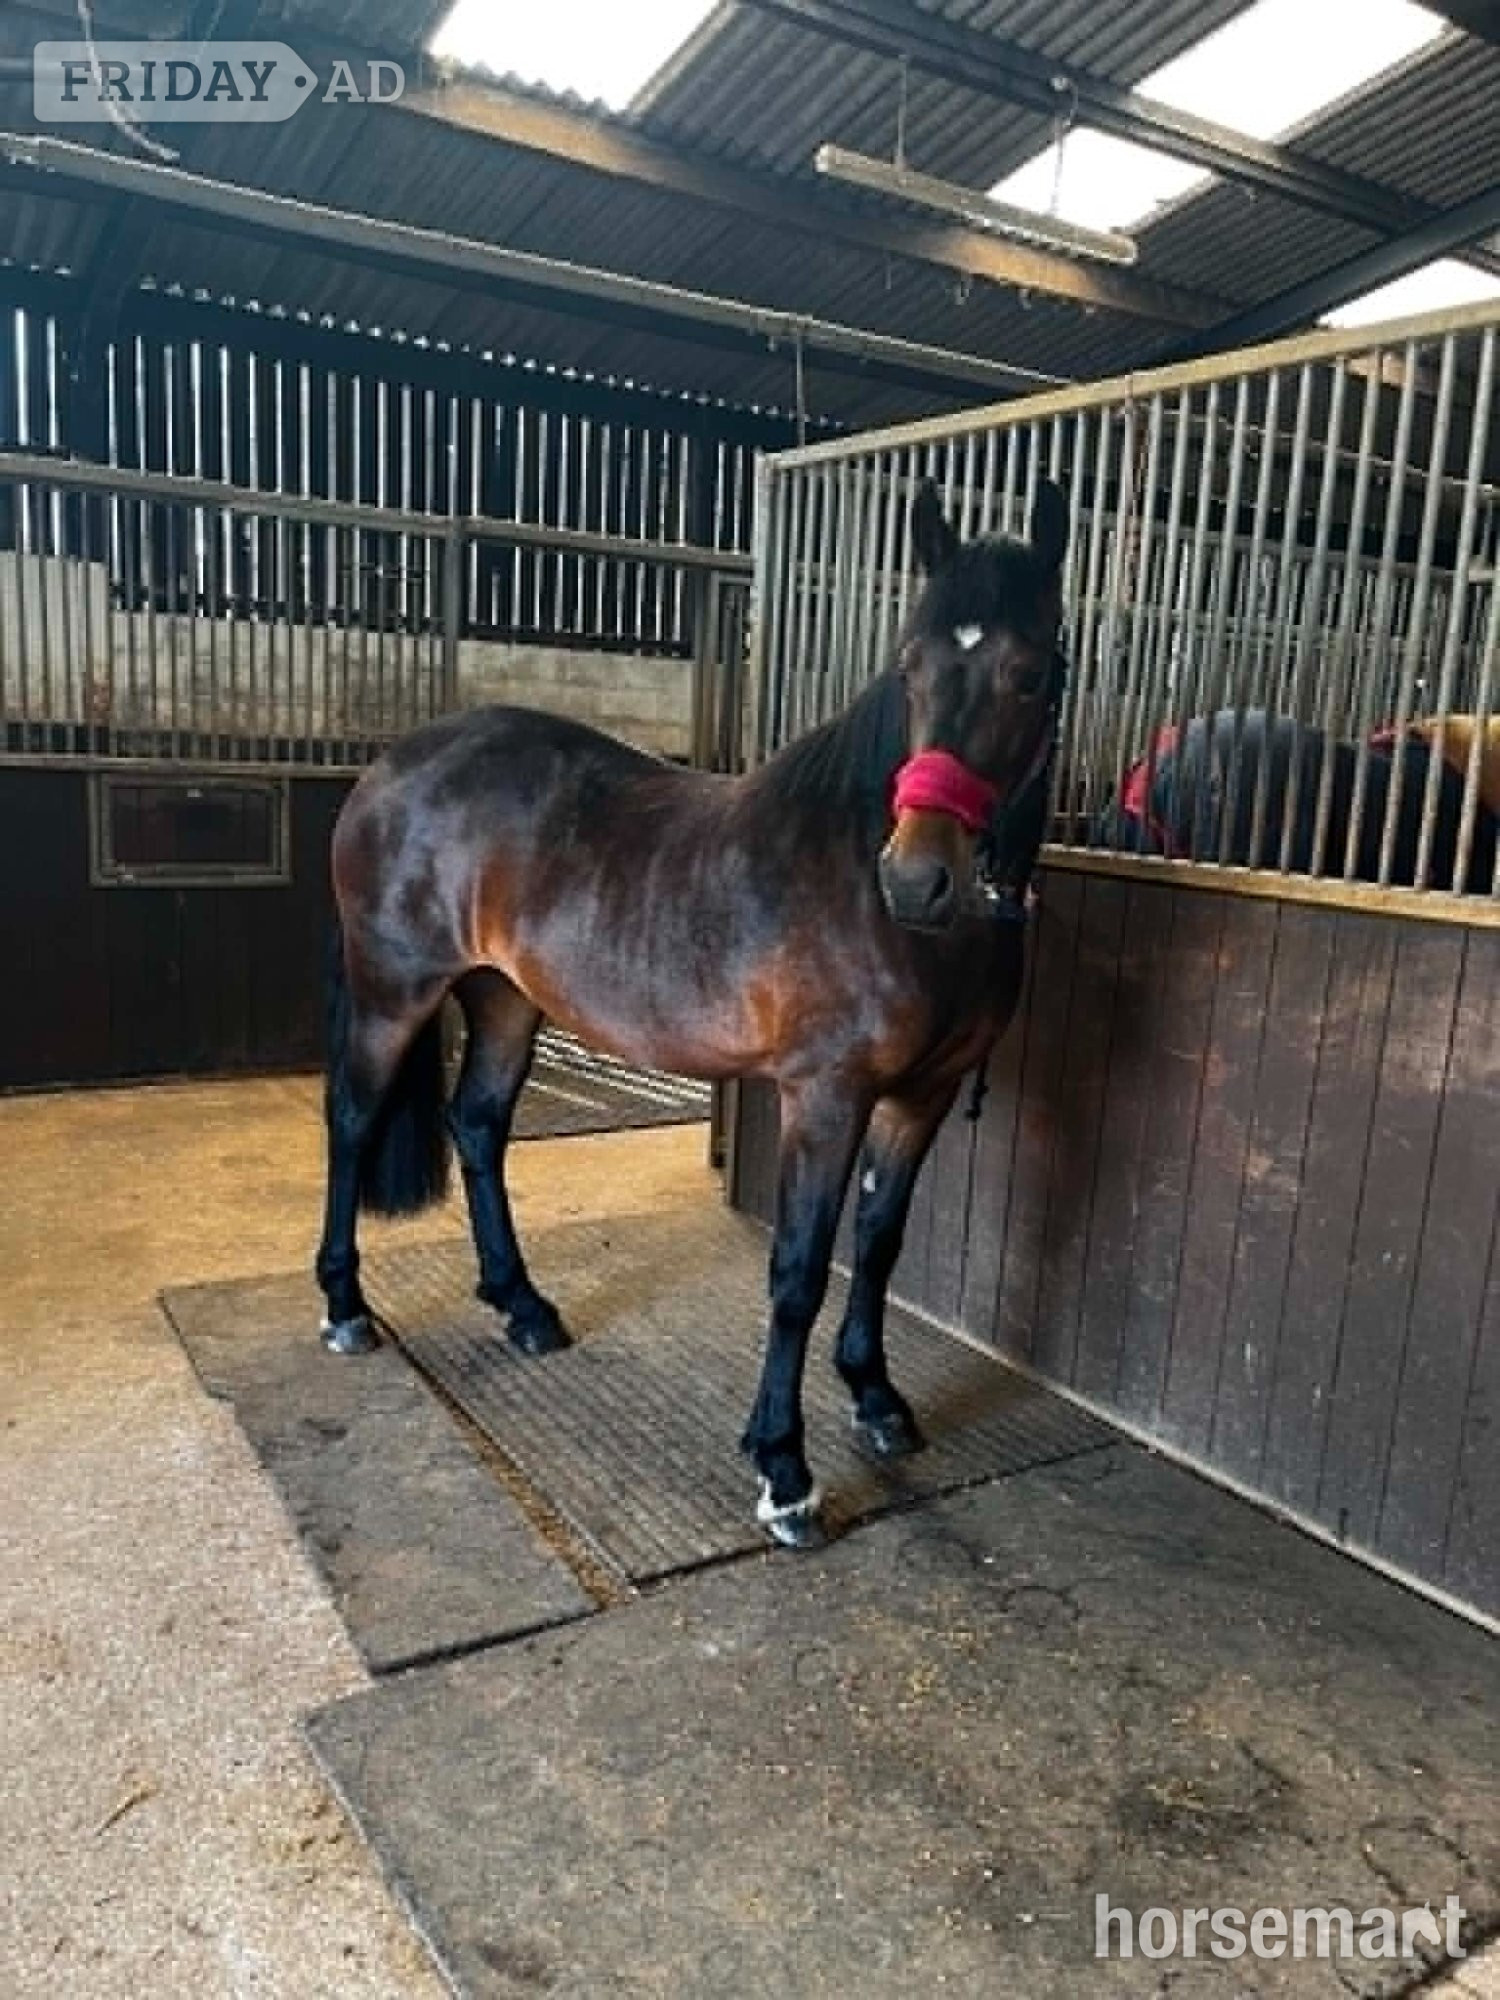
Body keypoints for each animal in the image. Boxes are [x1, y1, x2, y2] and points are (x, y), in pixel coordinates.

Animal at [315, 479, 1070, 1548]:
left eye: (1030, 672)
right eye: (912, 665)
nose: (919, 877)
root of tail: (389, 769)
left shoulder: (921, 1097)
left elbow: (879, 1245)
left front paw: (878, 1399)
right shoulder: (825, 1097)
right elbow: (800, 1269)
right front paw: (783, 1468)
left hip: (505, 1000)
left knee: (479, 1125)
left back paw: (524, 1306)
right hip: (394, 992)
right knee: (351, 1122)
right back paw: (346, 1307)